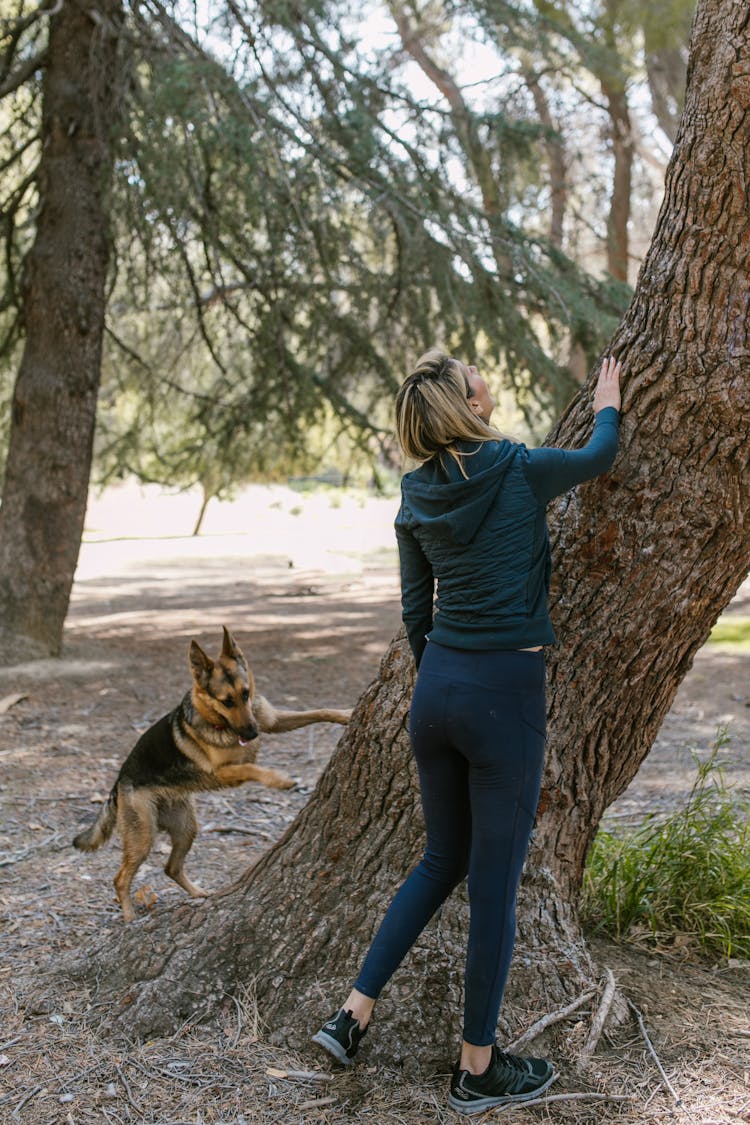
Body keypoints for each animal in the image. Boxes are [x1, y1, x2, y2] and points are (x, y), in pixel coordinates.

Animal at [73, 630, 348, 918]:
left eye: (246, 694)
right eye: (226, 701)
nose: (252, 734)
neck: (220, 721)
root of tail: (118, 782)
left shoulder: (271, 720)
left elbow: (319, 711)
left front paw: (348, 714)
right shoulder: (224, 772)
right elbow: (252, 767)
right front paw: (279, 779)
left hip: (186, 828)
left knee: (171, 868)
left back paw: (197, 893)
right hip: (142, 837)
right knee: (120, 878)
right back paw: (129, 916)